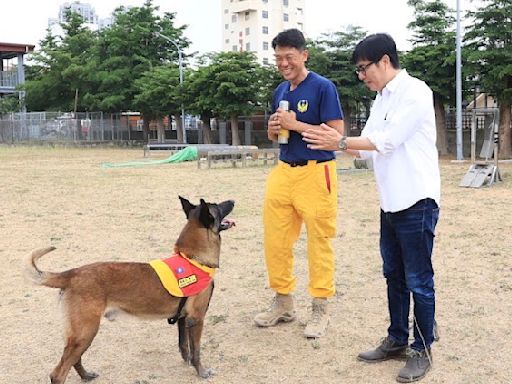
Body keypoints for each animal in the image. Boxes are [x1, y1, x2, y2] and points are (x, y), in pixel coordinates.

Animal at [27, 196, 235, 382]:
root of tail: (71, 273)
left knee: (73, 360)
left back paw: (86, 376)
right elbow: (197, 350)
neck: (193, 259)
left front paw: (188, 363)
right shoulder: (196, 319)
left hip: (79, 335)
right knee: (58, 373)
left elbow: (184, 346)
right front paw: (202, 372)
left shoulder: (183, 319)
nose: (233, 200)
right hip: (86, 332)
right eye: (217, 206)